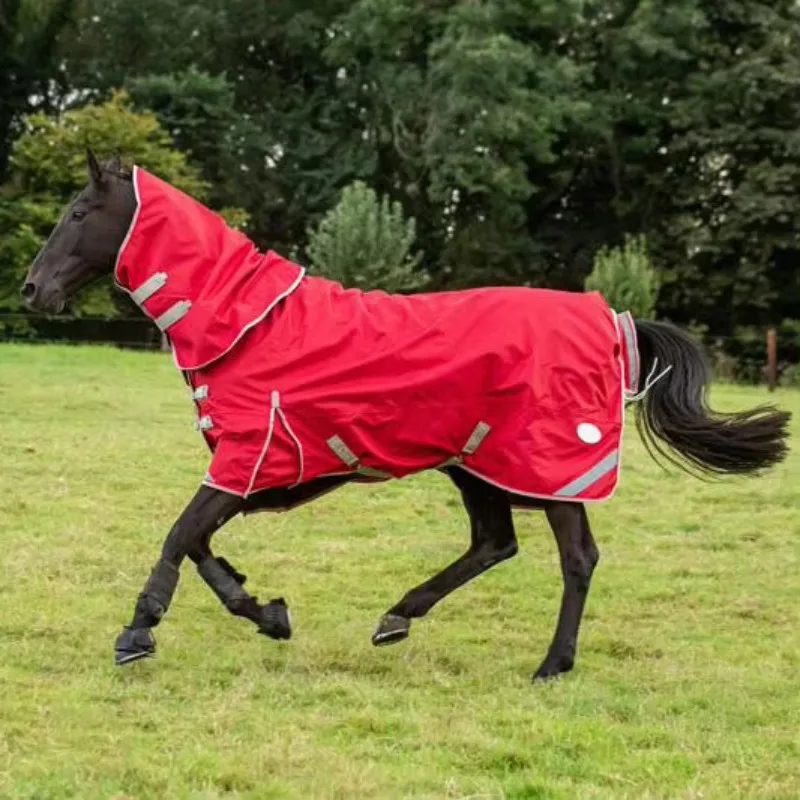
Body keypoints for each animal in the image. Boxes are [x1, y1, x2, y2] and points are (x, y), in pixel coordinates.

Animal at [20, 150, 791, 680]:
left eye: (79, 214)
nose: (32, 289)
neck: (250, 325)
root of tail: (613, 318)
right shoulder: (260, 474)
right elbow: (202, 544)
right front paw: (267, 612)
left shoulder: (250, 461)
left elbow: (180, 534)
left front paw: (138, 632)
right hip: (477, 464)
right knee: (494, 544)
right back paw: (397, 618)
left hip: (549, 470)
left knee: (576, 559)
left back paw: (551, 664)